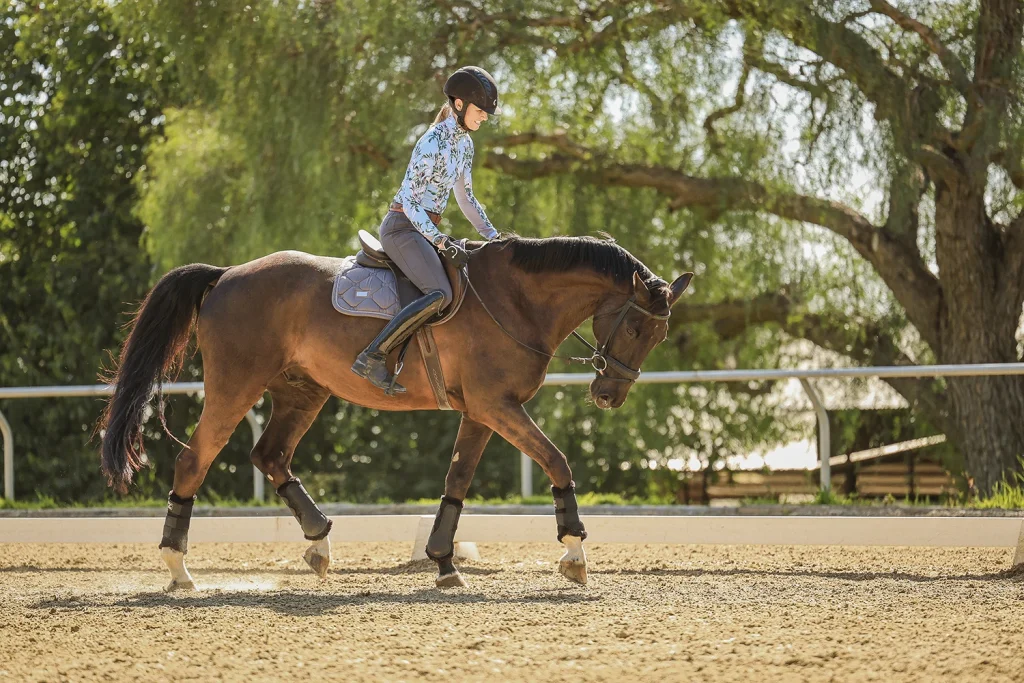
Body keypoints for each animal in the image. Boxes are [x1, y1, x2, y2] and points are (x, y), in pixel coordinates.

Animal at [99, 234, 692, 590]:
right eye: (635, 327)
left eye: (660, 337)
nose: (608, 396)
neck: (516, 301)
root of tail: (225, 275)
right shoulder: (496, 406)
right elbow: (557, 461)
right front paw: (573, 553)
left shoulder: (482, 412)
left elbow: (457, 481)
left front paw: (444, 562)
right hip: (234, 386)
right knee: (194, 462)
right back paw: (179, 568)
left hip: (303, 391)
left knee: (271, 456)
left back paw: (320, 545)